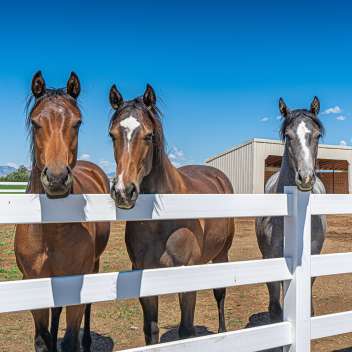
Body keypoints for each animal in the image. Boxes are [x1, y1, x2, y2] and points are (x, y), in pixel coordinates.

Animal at [14, 71, 110, 352]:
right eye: (35, 123)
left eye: (77, 123)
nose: (56, 179)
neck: (51, 231)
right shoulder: (33, 283)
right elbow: (42, 338)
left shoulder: (77, 281)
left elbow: (69, 339)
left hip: (94, 265)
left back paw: (87, 342)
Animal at [107, 83, 234, 344]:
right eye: (112, 135)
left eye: (149, 135)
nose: (123, 191)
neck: (161, 222)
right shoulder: (144, 275)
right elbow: (151, 330)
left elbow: (186, 330)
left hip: (222, 254)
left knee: (219, 294)